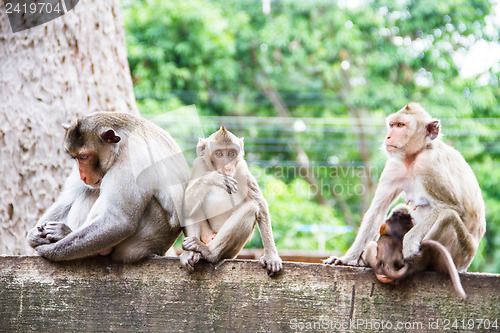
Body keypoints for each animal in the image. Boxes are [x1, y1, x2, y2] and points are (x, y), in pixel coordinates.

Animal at [26, 111, 189, 262]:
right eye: (75, 157)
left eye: (84, 156)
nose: (83, 176)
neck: (122, 143)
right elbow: (68, 198)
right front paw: (33, 235)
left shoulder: (130, 159)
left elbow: (119, 221)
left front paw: (48, 250)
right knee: (89, 192)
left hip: (143, 238)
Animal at [180, 124, 284, 274]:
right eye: (219, 154)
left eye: (231, 154)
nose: (227, 167)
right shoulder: (198, 164)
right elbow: (186, 205)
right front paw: (215, 178)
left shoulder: (241, 168)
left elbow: (259, 204)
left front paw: (271, 256)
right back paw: (192, 252)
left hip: (232, 252)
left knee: (251, 208)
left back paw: (208, 252)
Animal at [324, 102, 484, 274]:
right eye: (392, 125)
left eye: (401, 125)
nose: (388, 136)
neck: (413, 157)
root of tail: (465, 265)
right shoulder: (394, 166)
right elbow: (377, 211)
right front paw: (348, 259)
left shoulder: (429, 164)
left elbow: (452, 206)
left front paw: (409, 242)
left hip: (460, 253)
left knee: (447, 216)